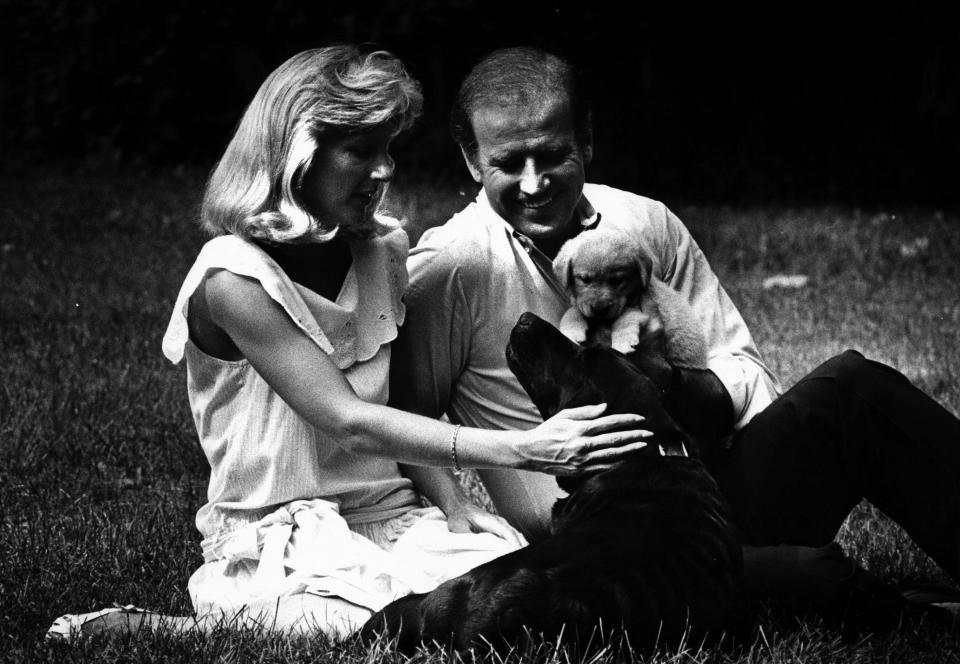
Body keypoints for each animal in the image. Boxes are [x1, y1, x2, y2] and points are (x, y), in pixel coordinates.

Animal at [556, 224, 704, 368]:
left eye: (618, 280)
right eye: (584, 279)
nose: (599, 308)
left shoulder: (635, 305)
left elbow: (625, 316)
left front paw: (623, 339)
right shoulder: (581, 303)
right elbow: (572, 310)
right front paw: (571, 329)